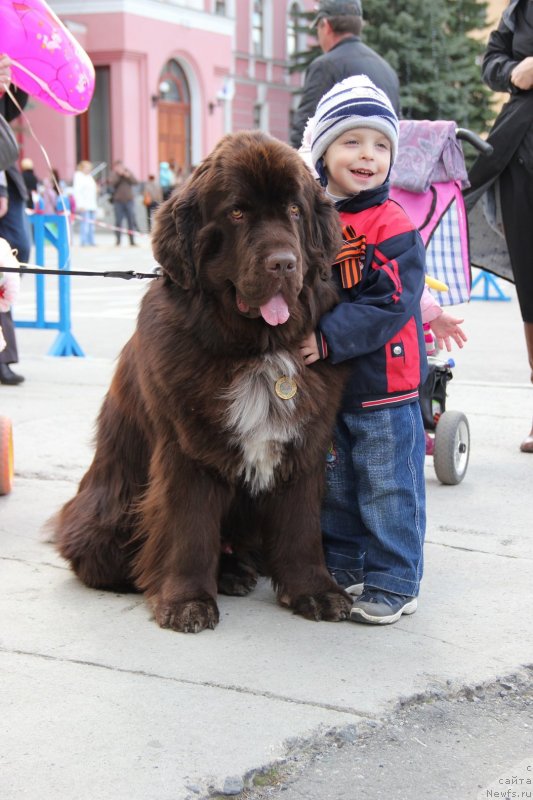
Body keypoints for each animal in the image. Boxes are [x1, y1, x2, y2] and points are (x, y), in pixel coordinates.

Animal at [54, 130, 352, 632]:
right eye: (237, 212)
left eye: (295, 210)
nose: (284, 263)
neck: (257, 349)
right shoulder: (187, 449)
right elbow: (188, 529)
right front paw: (186, 601)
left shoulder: (304, 446)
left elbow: (301, 527)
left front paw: (315, 590)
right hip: (105, 518)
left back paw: (234, 571)